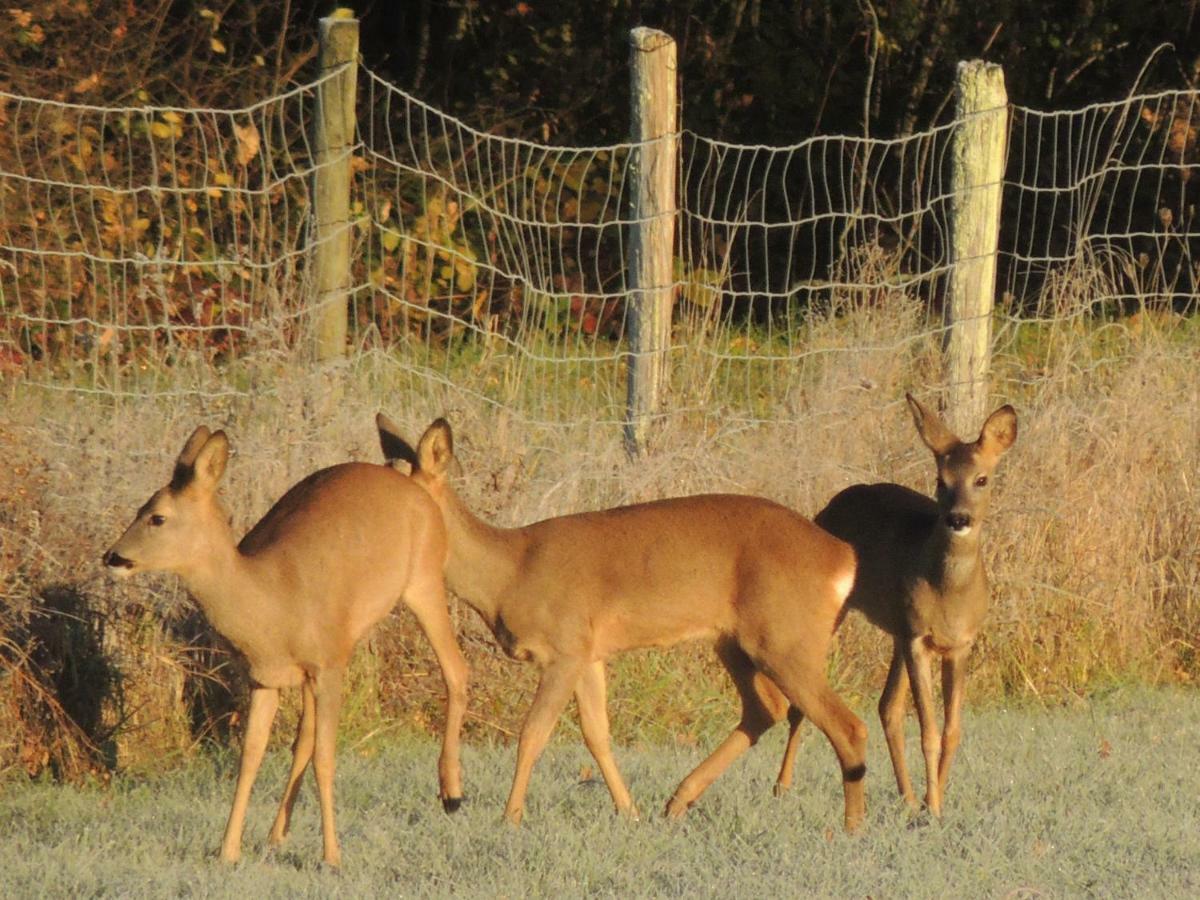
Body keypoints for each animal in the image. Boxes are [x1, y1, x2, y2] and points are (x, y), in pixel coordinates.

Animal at [102, 427, 468, 868]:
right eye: (140, 508)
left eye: (158, 517)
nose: (113, 557)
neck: (274, 599)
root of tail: (417, 485)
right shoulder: (264, 678)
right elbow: (252, 755)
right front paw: (228, 852)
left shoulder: (330, 664)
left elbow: (325, 757)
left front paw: (332, 857)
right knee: (304, 737)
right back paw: (277, 834)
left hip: (424, 580)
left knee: (457, 670)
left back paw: (452, 793)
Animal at [379, 412, 868, 835]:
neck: (509, 574)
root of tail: (842, 557)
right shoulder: (589, 654)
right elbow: (597, 735)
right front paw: (628, 811)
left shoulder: (565, 647)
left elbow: (533, 733)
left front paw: (510, 818)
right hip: (737, 640)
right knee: (766, 708)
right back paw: (677, 802)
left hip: (786, 637)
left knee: (846, 724)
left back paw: (850, 830)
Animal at [772, 393, 1017, 816]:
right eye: (941, 481)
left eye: (982, 479)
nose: (958, 518)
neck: (949, 594)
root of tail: (833, 503)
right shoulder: (918, 638)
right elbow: (929, 731)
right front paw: (933, 808)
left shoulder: (957, 644)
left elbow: (951, 730)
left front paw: (934, 802)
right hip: (843, 613)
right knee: (801, 702)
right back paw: (782, 786)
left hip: (897, 631)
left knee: (887, 706)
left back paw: (907, 797)